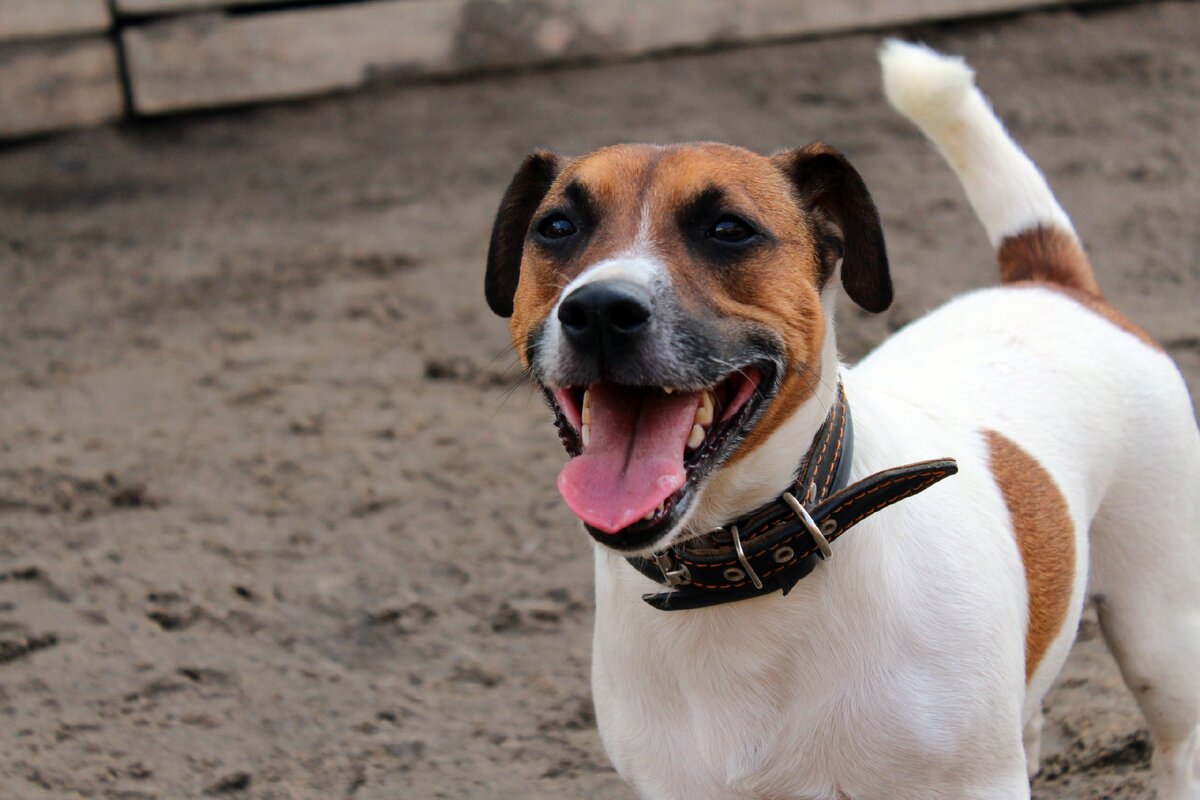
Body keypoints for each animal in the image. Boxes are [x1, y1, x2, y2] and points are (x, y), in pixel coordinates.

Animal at [480, 40, 1200, 796]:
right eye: (556, 228)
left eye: (729, 230)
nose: (598, 309)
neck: (738, 574)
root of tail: (1048, 282)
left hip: (1159, 634)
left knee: (1175, 745)